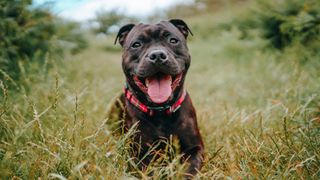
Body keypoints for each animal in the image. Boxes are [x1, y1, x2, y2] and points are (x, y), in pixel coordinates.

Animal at [112, 19, 202, 177]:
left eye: (173, 40)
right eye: (136, 44)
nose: (158, 55)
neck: (160, 111)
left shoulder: (195, 148)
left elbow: (190, 169)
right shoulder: (138, 154)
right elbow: (150, 172)